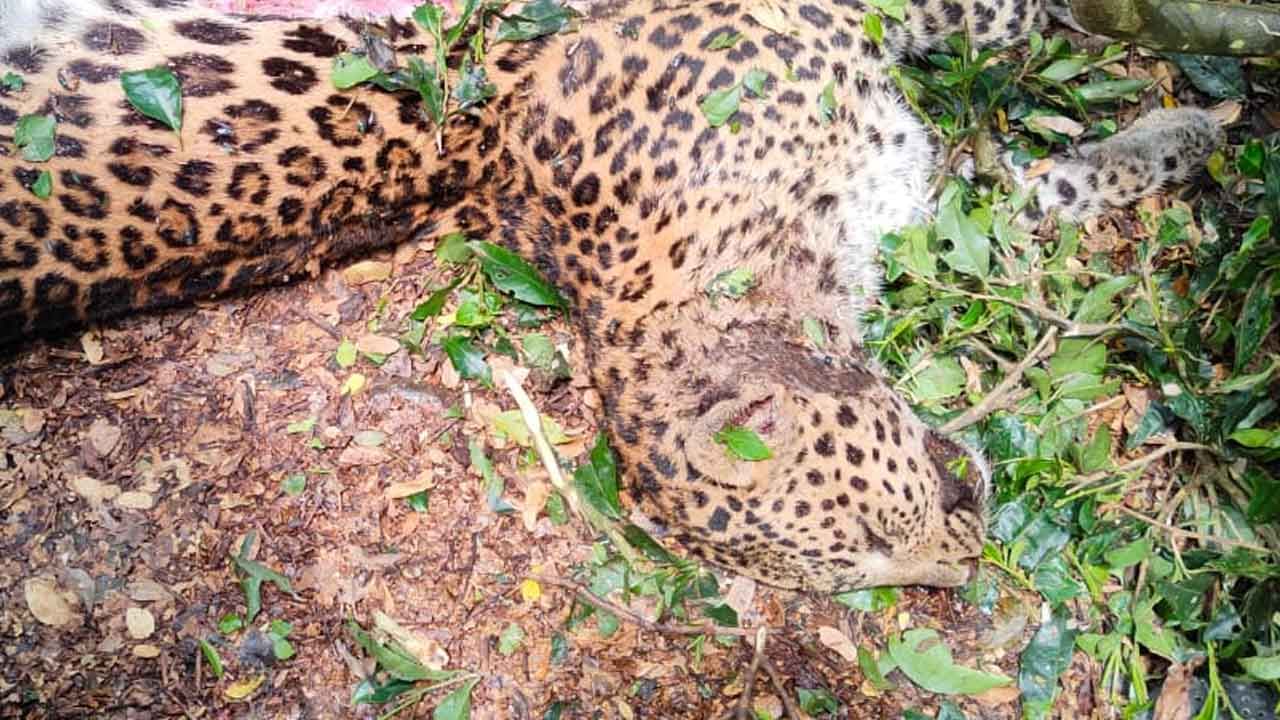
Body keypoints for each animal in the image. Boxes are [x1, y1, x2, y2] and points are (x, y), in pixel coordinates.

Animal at [0, 0, 1218, 589]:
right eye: (865, 561)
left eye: (884, 525)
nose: (963, 576)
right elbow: (1035, 175)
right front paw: (1191, 127)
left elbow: (999, 49)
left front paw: (1181, 111)